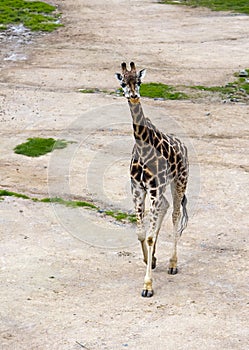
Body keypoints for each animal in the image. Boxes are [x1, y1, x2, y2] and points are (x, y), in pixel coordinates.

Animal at [115, 61, 189, 296]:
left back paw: (173, 264)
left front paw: (147, 285)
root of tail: (183, 145)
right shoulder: (138, 188)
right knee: (165, 207)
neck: (142, 145)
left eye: (138, 80)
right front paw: (151, 260)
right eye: (123, 82)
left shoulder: (155, 188)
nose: (133, 96)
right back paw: (157, 259)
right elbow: (141, 234)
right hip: (162, 189)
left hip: (180, 180)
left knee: (175, 214)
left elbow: (148, 235)